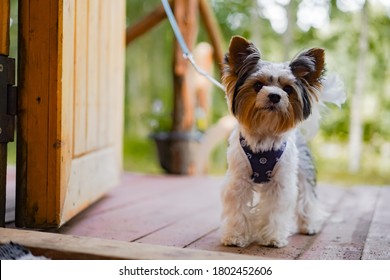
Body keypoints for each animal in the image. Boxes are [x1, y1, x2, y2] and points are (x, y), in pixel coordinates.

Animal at [221, 35, 342, 247]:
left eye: (287, 89)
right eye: (258, 85)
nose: (275, 96)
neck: (264, 134)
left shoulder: (281, 183)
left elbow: (275, 209)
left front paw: (272, 237)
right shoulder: (238, 180)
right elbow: (238, 208)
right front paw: (236, 236)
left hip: (302, 169)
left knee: (307, 197)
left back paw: (309, 225)